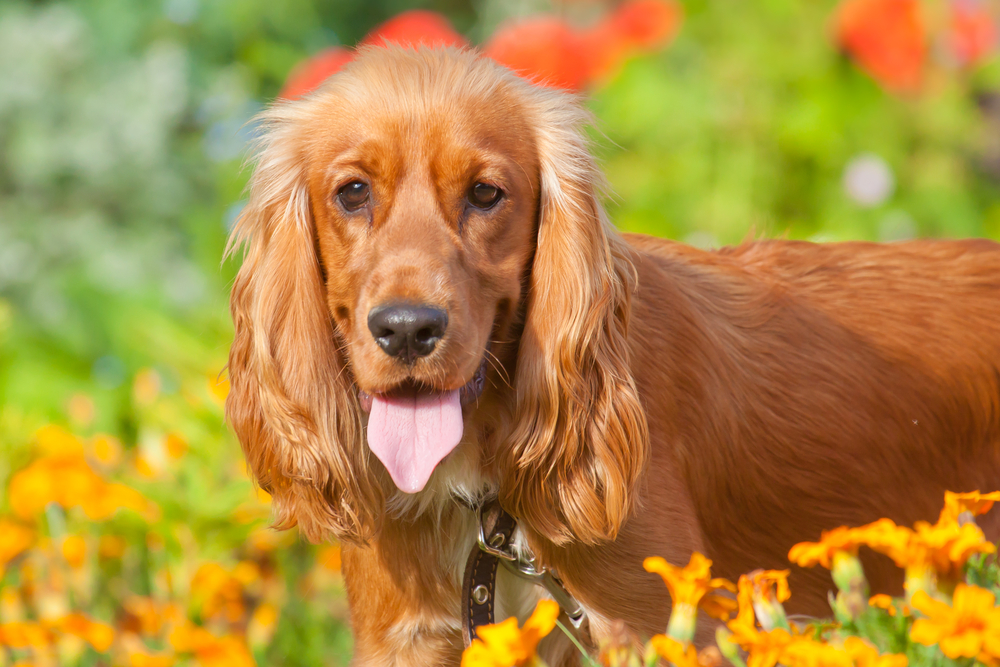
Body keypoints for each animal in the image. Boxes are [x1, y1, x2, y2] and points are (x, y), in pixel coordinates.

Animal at [225, 45, 1000, 664]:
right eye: (352, 192)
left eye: (486, 193)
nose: (408, 329)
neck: (484, 491)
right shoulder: (408, 635)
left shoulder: (654, 625)